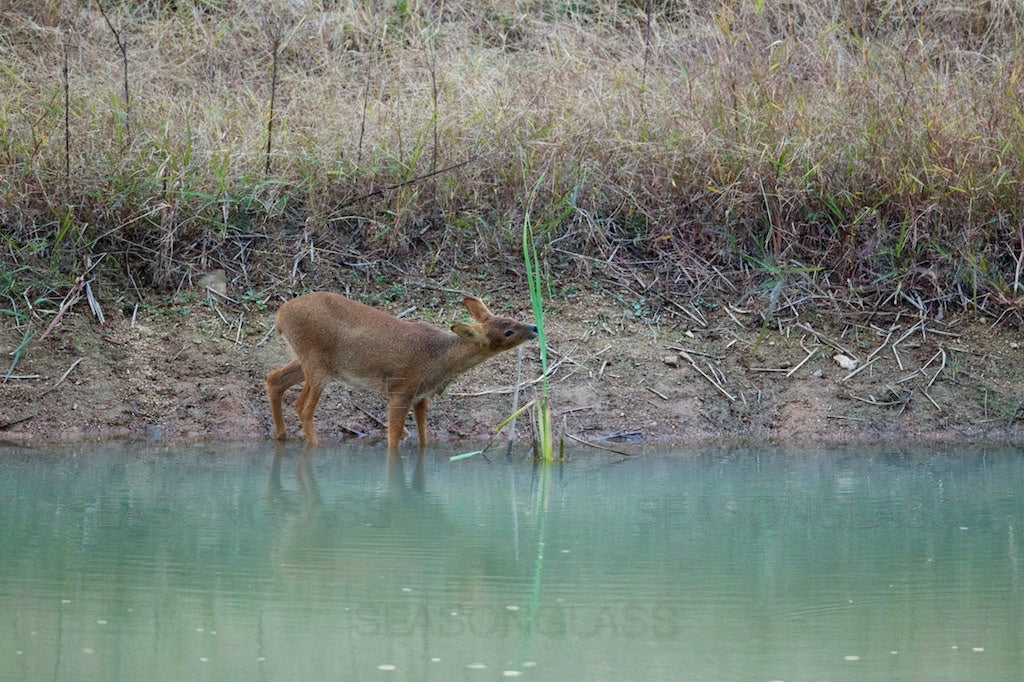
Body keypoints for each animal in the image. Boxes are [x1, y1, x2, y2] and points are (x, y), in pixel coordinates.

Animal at [264, 290, 540, 446]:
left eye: (512, 318)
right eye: (508, 332)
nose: (535, 327)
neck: (439, 360)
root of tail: (280, 316)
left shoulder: (421, 396)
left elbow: (423, 435)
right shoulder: (401, 389)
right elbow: (394, 437)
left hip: (310, 361)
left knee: (274, 378)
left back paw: (281, 436)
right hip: (316, 363)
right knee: (302, 406)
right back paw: (314, 446)